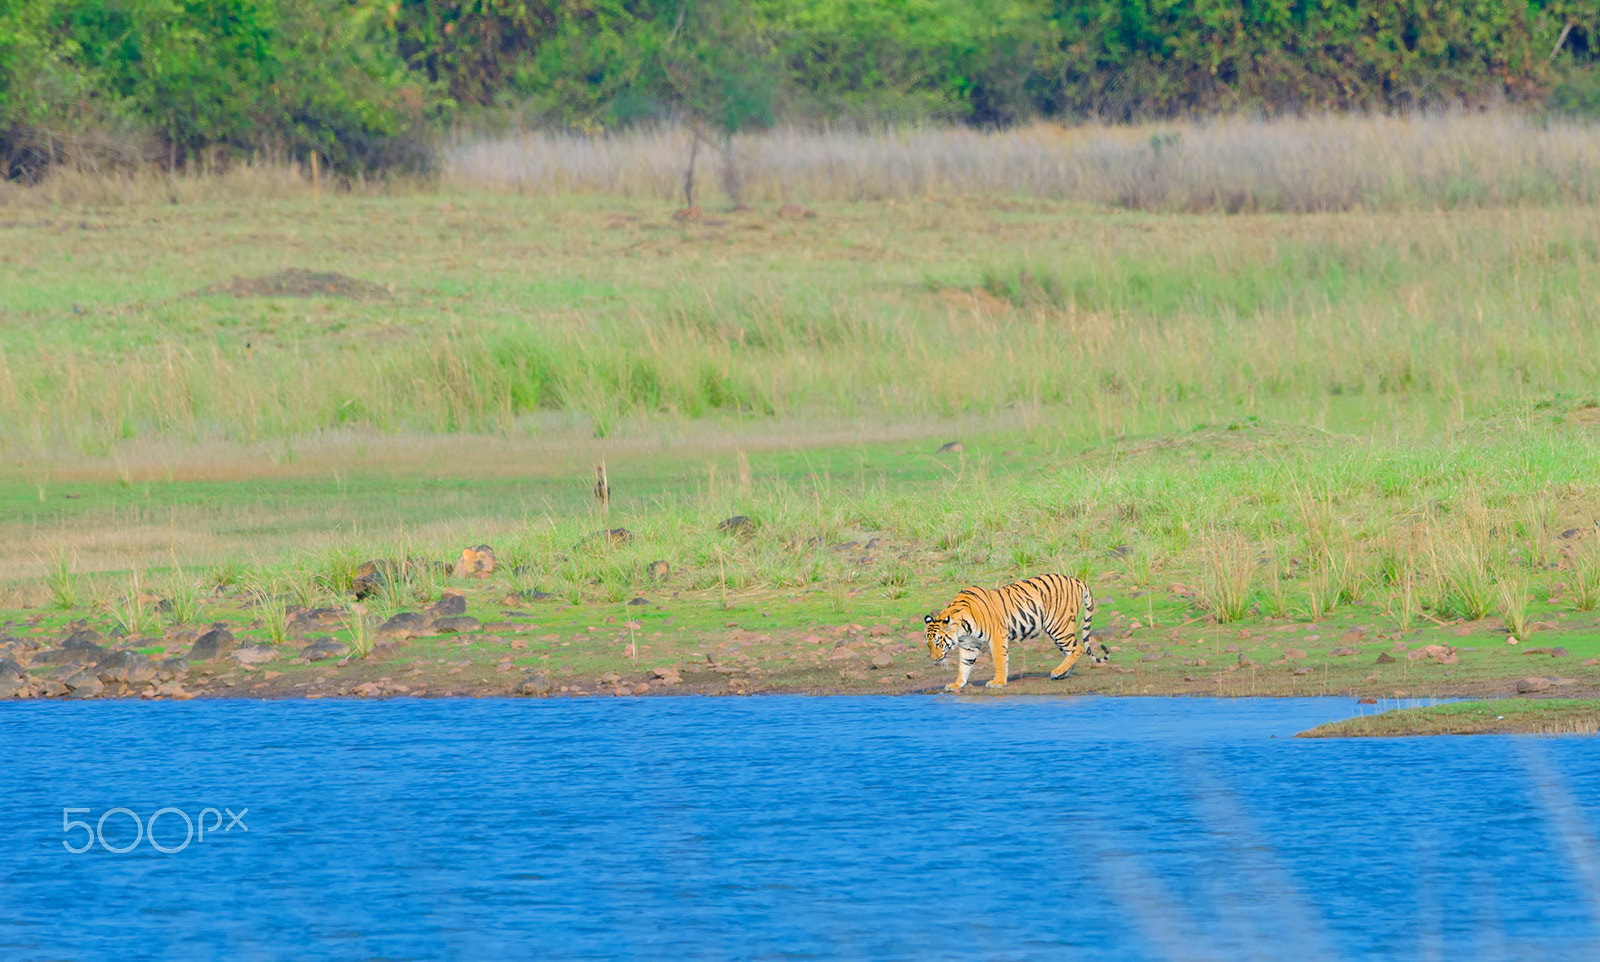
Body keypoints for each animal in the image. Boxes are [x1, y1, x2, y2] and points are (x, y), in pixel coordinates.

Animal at [921, 569, 1107, 691]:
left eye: (937, 643)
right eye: (928, 644)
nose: (934, 659)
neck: (961, 629)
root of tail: (1077, 580)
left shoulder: (996, 637)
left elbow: (999, 661)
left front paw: (998, 682)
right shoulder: (969, 645)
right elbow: (964, 666)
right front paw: (957, 684)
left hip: (1058, 625)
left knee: (1077, 648)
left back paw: (1057, 672)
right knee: (1070, 651)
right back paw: (1062, 674)